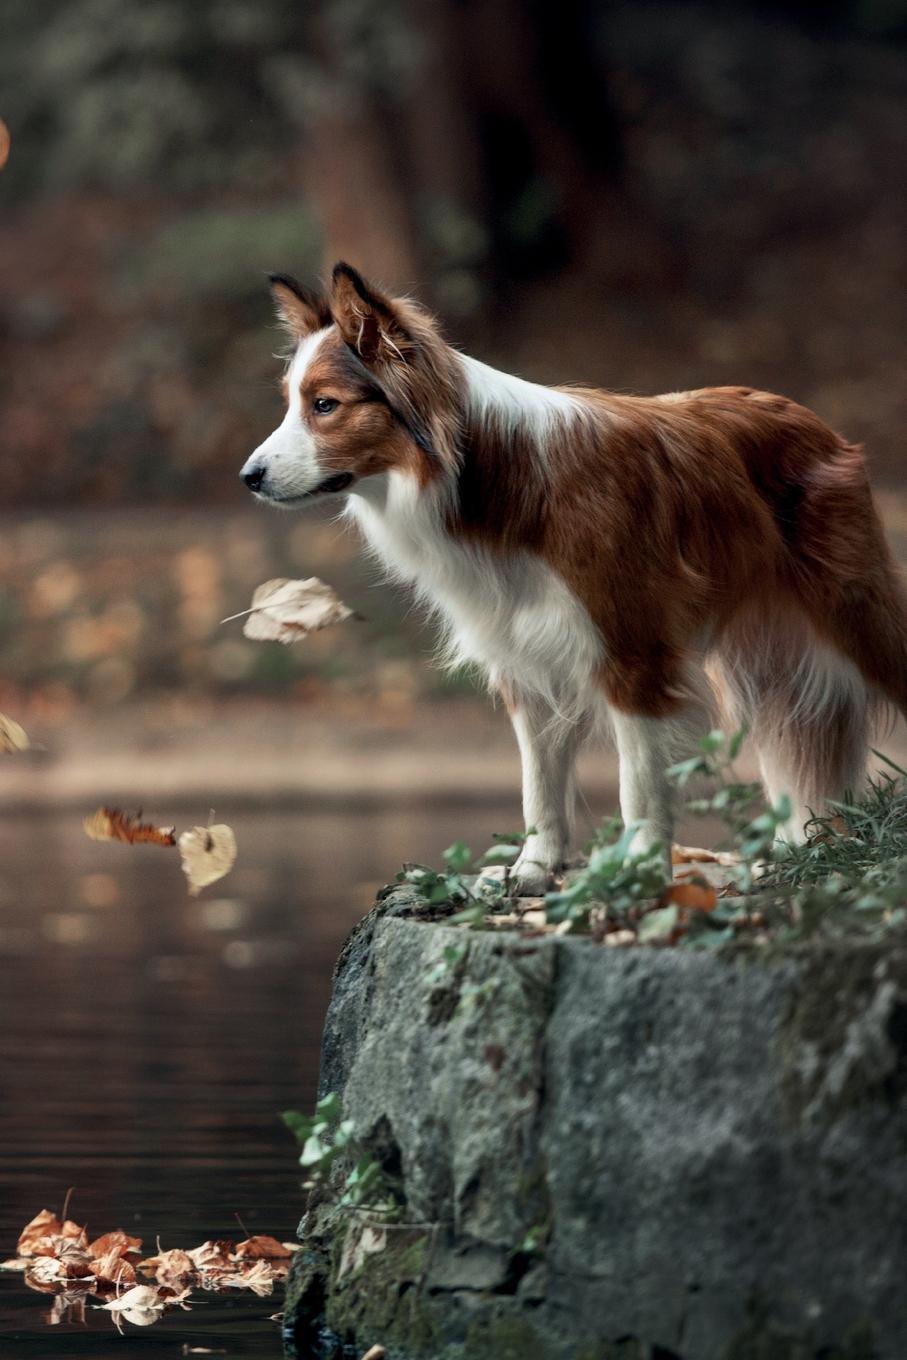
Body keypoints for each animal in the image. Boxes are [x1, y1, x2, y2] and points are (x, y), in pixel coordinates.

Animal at [240, 261, 907, 897]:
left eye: (325, 405)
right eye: (292, 403)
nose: (248, 477)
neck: (493, 484)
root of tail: (813, 419)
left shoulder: (631, 657)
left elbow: (638, 787)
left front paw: (637, 873)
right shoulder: (525, 664)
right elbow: (539, 786)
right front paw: (533, 871)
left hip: (858, 618)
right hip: (758, 665)